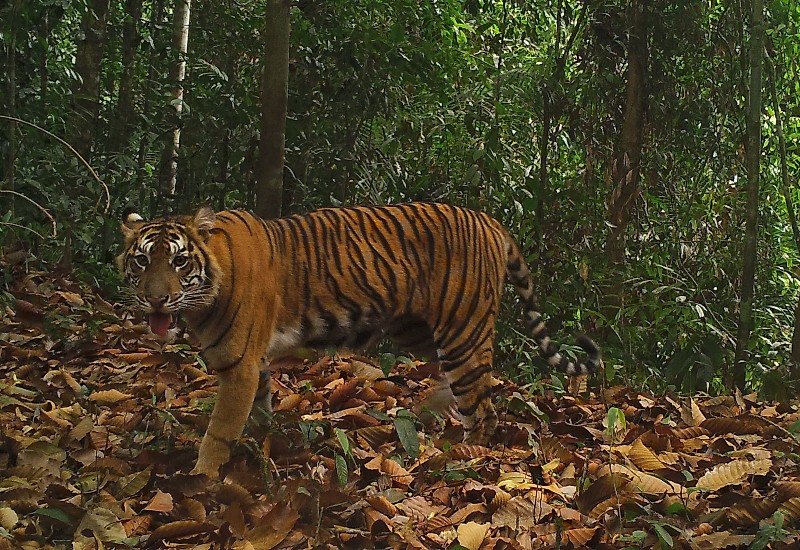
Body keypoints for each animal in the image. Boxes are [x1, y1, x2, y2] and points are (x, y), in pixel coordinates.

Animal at [118, 203, 601, 477]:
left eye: (179, 262)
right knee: (467, 379)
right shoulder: (254, 364)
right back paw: (423, 413)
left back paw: (460, 453)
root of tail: (492, 221)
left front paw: (202, 478)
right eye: (141, 260)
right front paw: (259, 447)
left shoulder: (239, 366)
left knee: (482, 406)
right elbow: (258, 413)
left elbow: (219, 430)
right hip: (422, 330)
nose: (155, 299)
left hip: (462, 328)